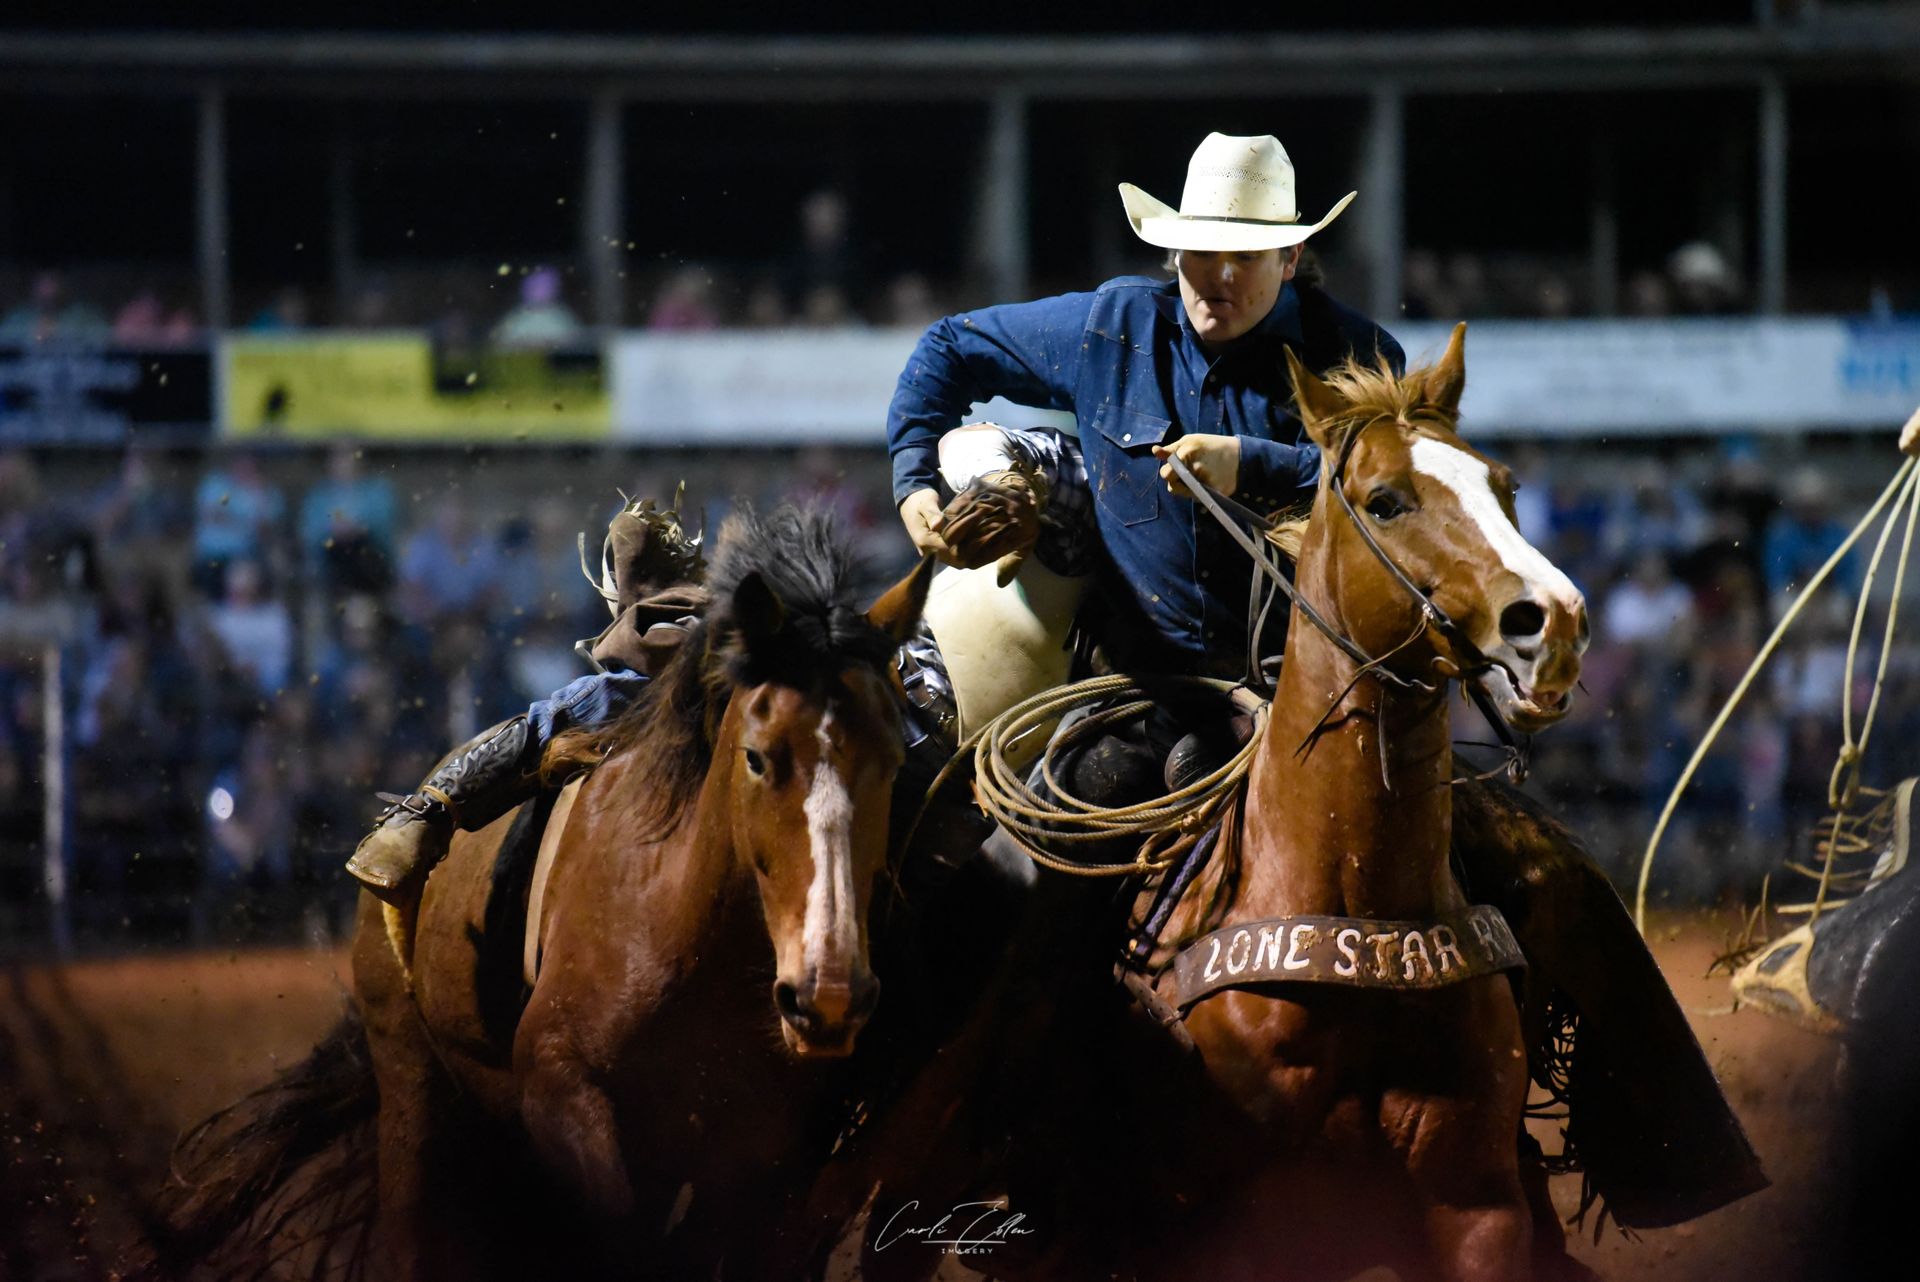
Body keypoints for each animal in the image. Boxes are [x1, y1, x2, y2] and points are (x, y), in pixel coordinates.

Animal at [159, 506, 936, 1274]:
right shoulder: (561, 1092)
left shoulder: (762, 1168)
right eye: (756, 756)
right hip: (410, 1080)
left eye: (894, 759)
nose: (827, 997)